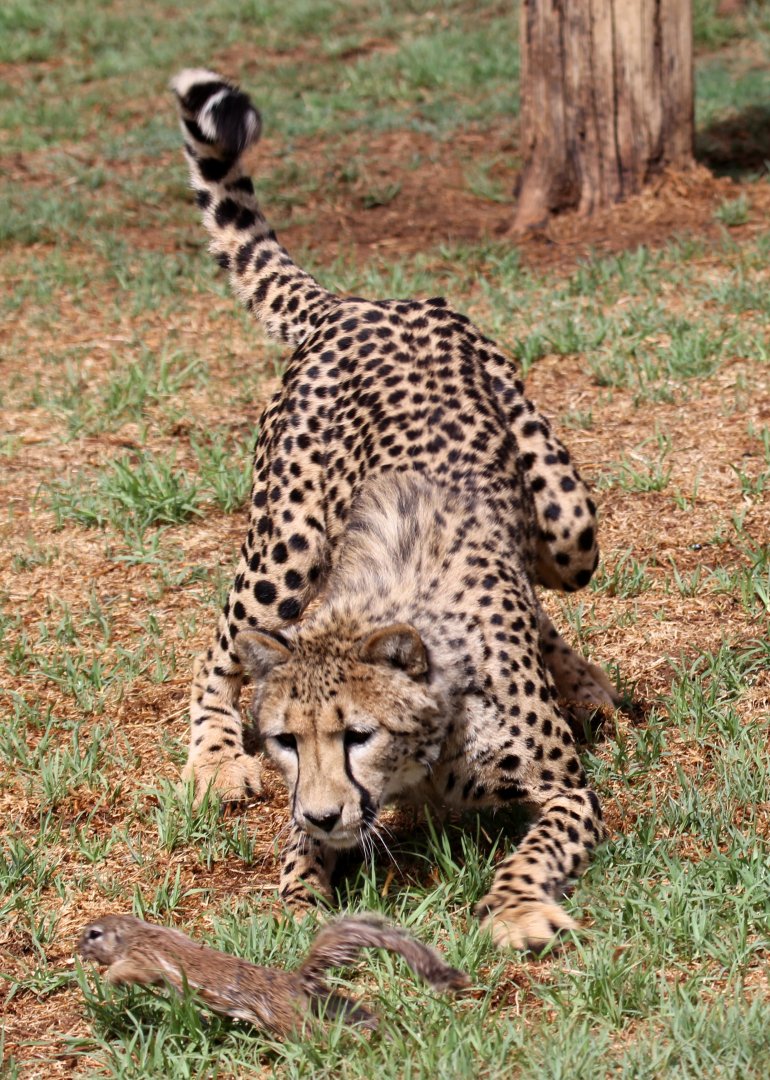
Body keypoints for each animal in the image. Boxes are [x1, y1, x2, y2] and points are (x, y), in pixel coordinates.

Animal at [78, 913, 469, 1035]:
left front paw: (108, 980)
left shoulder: (143, 957)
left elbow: (130, 970)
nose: (77, 947)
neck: (137, 932)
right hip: (329, 1002)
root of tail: (295, 983)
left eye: (94, 933)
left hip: (285, 1019)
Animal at [170, 68, 619, 951]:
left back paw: (582, 681)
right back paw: (212, 756)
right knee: (221, 645)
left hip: (569, 530)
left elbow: (531, 849)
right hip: (285, 547)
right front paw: (301, 910)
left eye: (358, 733)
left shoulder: (568, 793)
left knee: (542, 581)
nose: (323, 808)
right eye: (287, 740)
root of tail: (358, 301)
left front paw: (515, 909)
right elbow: (298, 860)